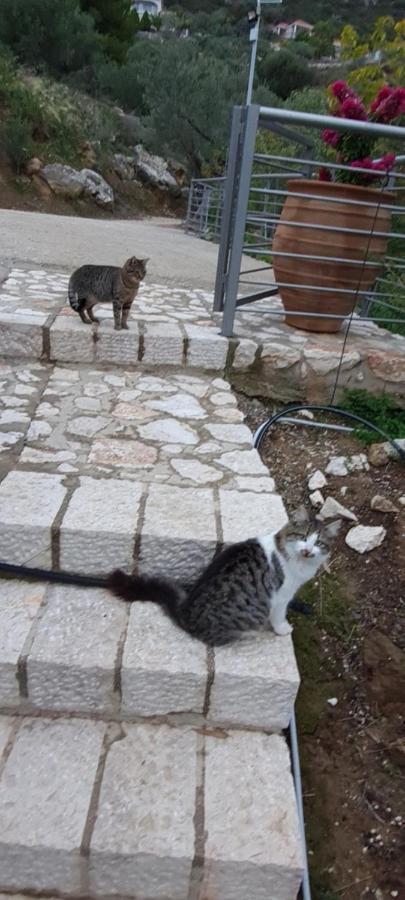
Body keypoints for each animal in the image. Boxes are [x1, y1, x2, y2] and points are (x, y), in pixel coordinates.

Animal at [108, 524, 328, 644]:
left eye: (319, 543)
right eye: (302, 537)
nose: (308, 550)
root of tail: (185, 612)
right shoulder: (281, 597)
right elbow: (279, 616)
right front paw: (283, 629)